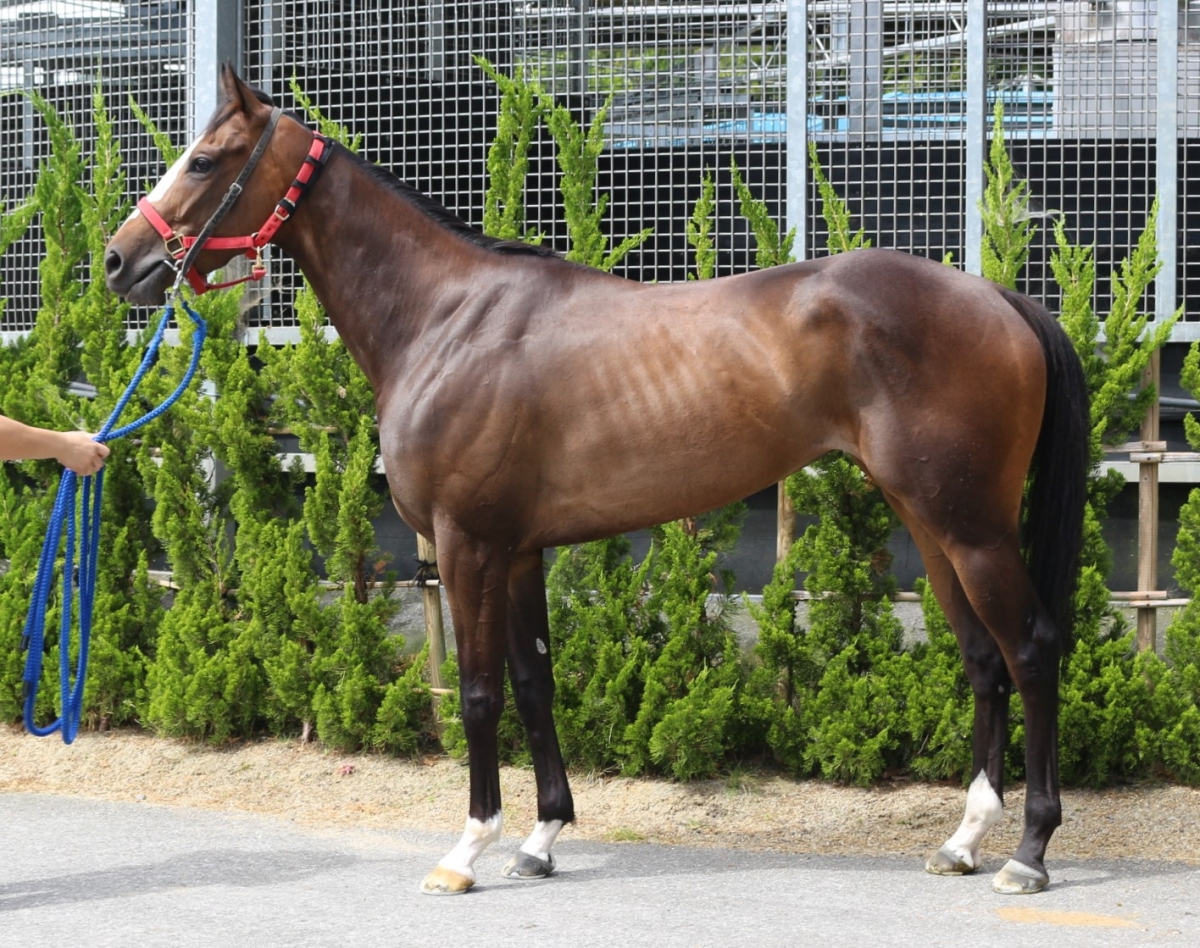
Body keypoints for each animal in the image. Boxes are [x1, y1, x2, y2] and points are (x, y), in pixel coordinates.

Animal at [108, 68, 1094, 897]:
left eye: (204, 159)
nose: (121, 261)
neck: (446, 319)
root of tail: (999, 297)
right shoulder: (516, 551)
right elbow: (535, 682)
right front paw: (541, 840)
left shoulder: (467, 544)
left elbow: (478, 693)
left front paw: (467, 851)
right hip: (930, 521)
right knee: (982, 659)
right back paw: (964, 841)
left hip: (969, 526)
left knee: (1031, 648)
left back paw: (1029, 853)